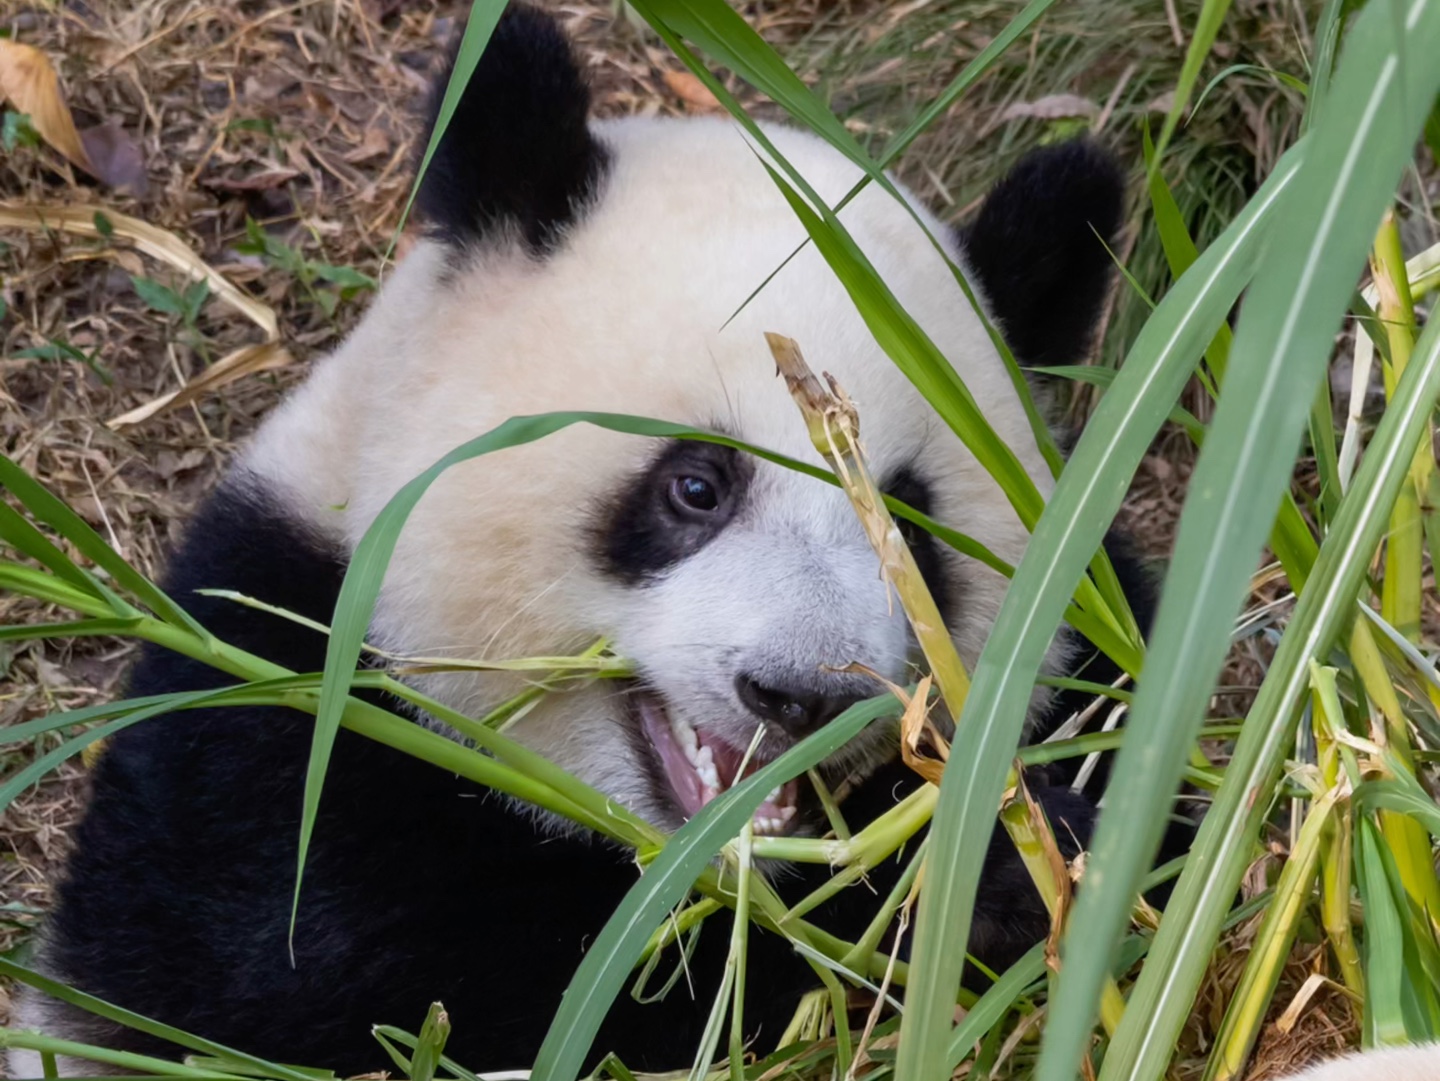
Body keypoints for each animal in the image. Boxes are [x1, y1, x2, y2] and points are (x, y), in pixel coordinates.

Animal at [8, 4, 1180, 1076]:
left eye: (909, 528)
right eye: (695, 486)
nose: (801, 696)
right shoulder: (266, 709)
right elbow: (386, 979)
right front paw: (961, 877)